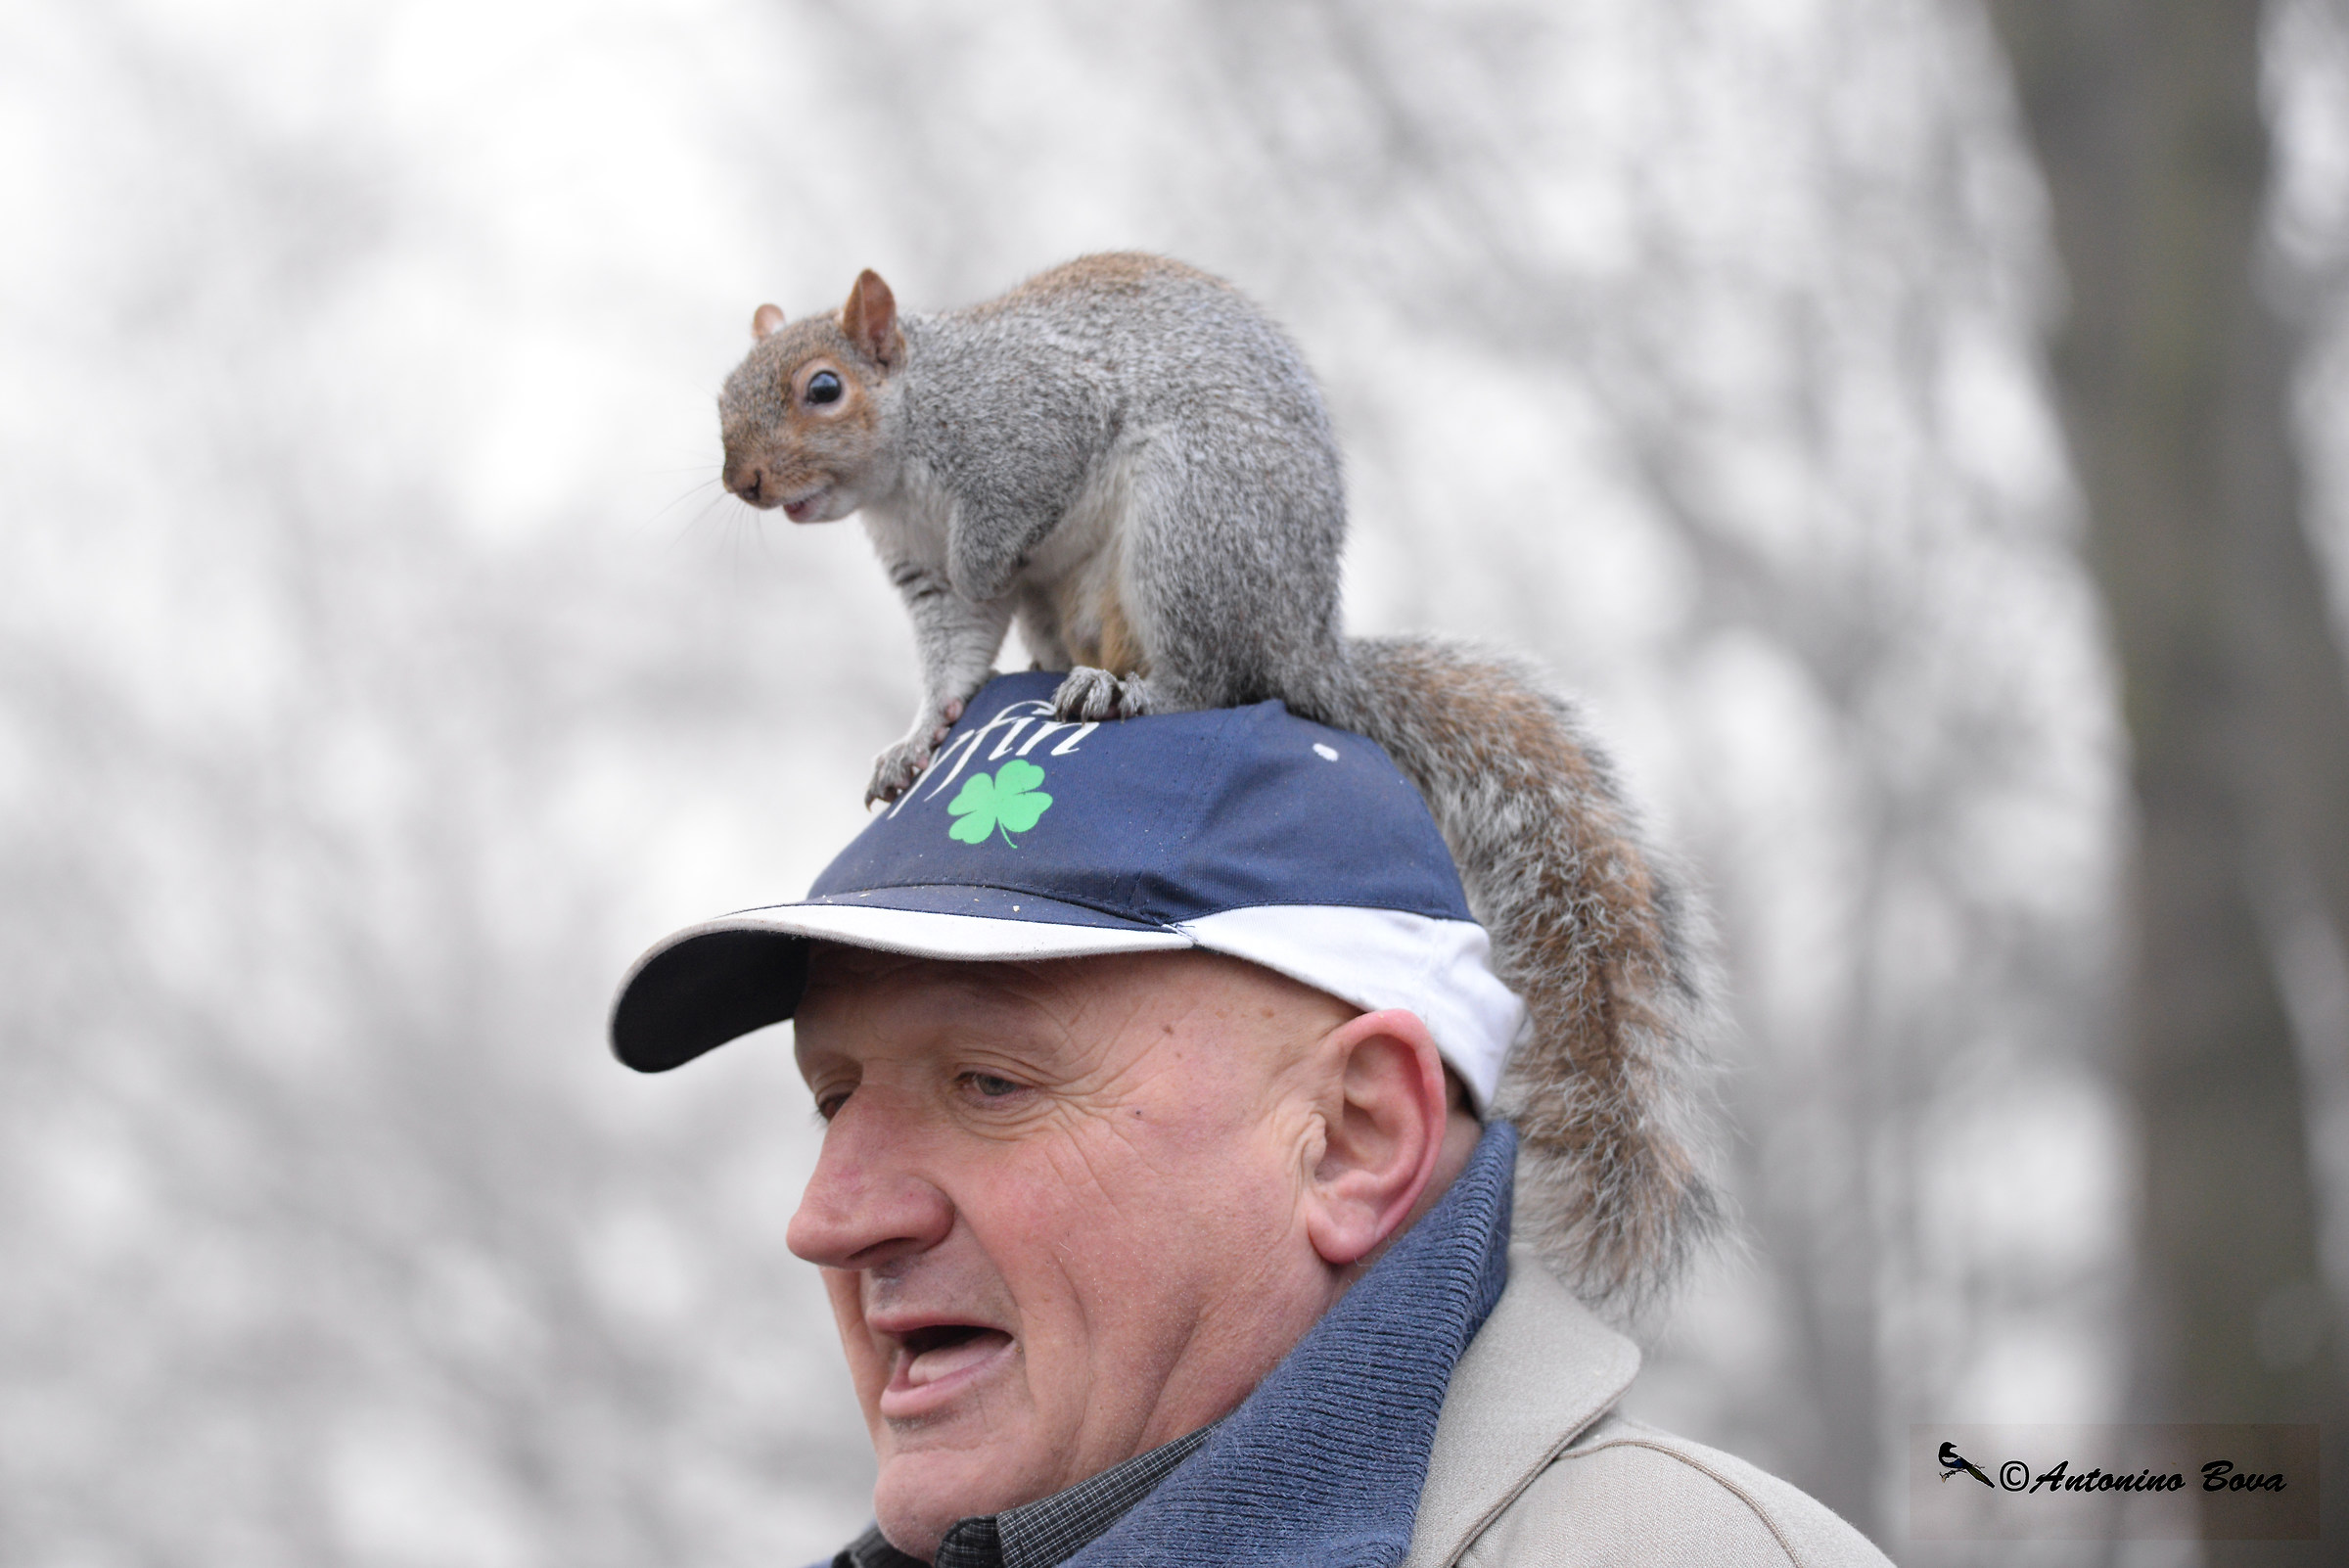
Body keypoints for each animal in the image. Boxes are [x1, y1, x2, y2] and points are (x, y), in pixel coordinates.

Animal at [717, 253, 1721, 1314]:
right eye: (723, 397)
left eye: (824, 388)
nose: (744, 482)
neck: (904, 463)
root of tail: (1305, 642)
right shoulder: (924, 581)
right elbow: (953, 657)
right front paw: (917, 742)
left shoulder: (1029, 428)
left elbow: (1000, 534)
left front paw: (983, 567)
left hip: (1192, 519)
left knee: (1210, 678)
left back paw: (1131, 691)